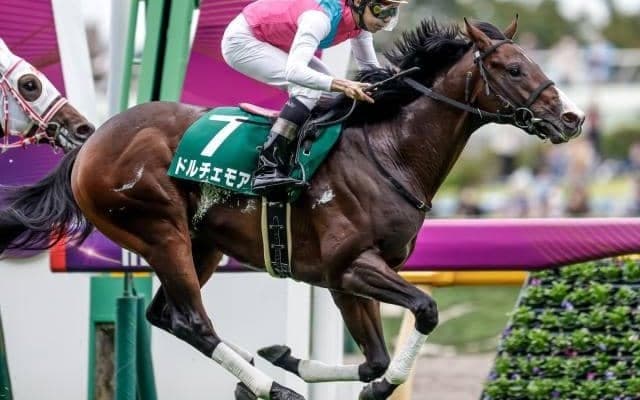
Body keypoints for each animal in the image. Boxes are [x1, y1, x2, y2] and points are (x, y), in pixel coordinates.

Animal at [0, 17, 584, 400]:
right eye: (513, 68)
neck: (388, 152)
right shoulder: (353, 264)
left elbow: (373, 360)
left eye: (531, 62)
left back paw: (260, 375)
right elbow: (426, 310)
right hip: (160, 231)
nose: (572, 119)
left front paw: (288, 357)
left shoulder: (343, 277)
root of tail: (89, 144)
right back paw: (271, 390)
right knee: (193, 323)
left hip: (201, 244)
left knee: (166, 315)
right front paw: (359, 385)